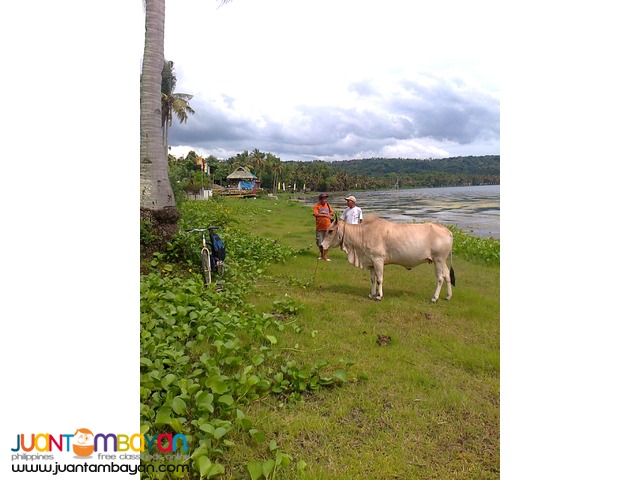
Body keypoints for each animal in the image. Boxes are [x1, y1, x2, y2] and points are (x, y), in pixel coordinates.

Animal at [320, 217, 456, 302]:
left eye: (330, 230)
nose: (321, 245)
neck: (363, 234)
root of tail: (448, 231)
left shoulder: (378, 260)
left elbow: (379, 279)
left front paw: (379, 296)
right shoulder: (371, 262)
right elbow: (373, 279)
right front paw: (371, 294)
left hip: (438, 260)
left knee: (440, 277)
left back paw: (434, 298)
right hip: (442, 261)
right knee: (447, 275)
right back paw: (448, 296)